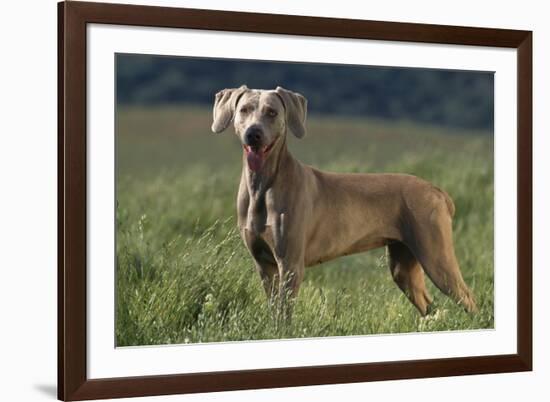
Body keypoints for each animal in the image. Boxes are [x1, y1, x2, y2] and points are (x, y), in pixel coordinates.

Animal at [211, 85, 478, 318]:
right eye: (244, 110)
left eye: (271, 112)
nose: (253, 134)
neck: (262, 186)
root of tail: (438, 191)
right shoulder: (264, 265)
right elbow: (274, 312)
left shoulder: (290, 264)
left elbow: (285, 316)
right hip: (404, 265)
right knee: (429, 307)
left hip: (436, 256)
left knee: (468, 299)